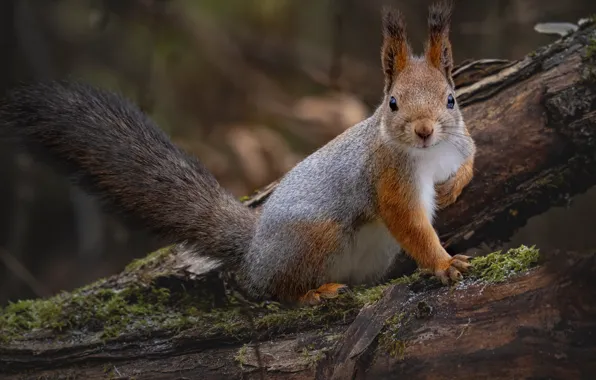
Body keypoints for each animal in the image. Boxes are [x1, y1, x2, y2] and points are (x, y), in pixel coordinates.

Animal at [0, 0, 474, 306]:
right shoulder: (388, 174)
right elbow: (407, 222)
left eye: (451, 100)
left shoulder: (460, 141)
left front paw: (453, 188)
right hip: (314, 237)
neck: (427, 153)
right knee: (273, 289)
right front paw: (443, 263)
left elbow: (469, 160)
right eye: (392, 103)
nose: (424, 131)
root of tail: (254, 247)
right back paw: (312, 293)